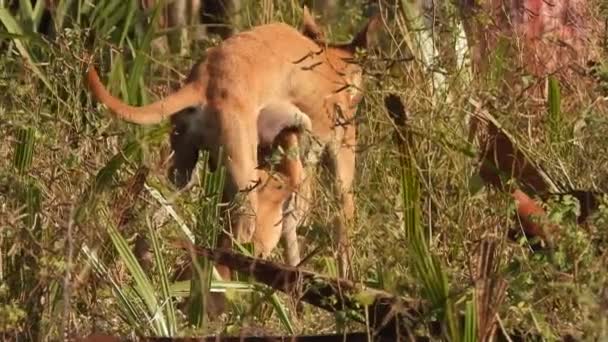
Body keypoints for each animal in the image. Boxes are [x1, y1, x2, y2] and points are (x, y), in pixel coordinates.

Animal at [88, 8, 378, 280]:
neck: (332, 64)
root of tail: (203, 80)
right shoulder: (338, 168)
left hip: (181, 176)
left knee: (149, 225)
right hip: (244, 195)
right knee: (233, 252)